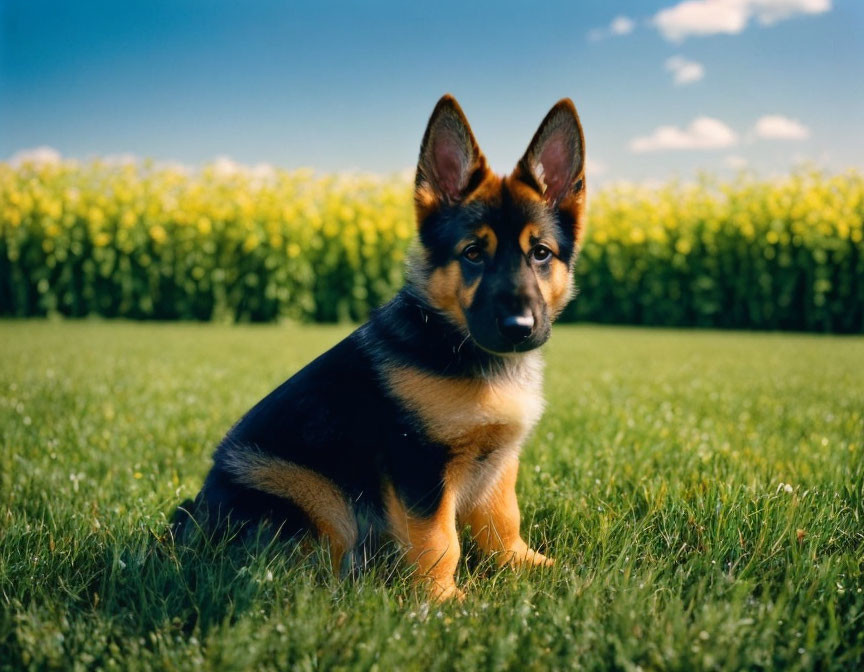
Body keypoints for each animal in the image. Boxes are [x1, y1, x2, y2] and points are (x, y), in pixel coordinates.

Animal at [181, 93, 588, 600]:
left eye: (541, 253)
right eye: (473, 253)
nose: (519, 327)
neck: (451, 340)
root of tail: (189, 530)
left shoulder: (498, 461)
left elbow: (502, 520)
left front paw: (526, 565)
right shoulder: (419, 465)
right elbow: (439, 539)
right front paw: (443, 600)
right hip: (312, 492)